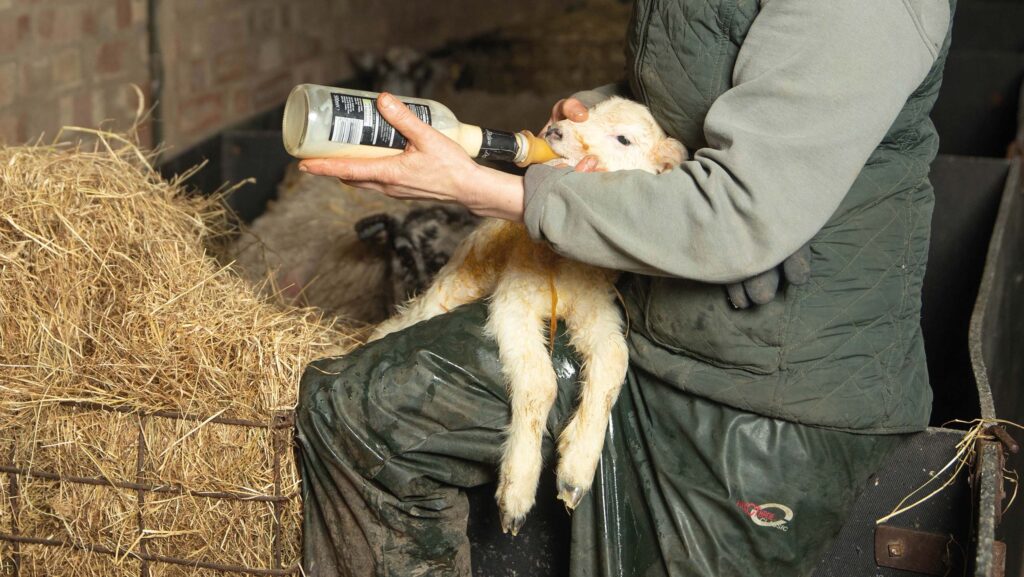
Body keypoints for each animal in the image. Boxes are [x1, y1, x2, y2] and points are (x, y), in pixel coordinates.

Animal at [368, 96, 688, 537]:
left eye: (624, 139)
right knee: (413, 314)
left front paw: (575, 471)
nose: (555, 130)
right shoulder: (513, 301)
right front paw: (517, 491)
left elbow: (613, 361)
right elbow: (540, 383)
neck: (565, 267)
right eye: (586, 111)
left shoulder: (596, 308)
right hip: (463, 275)